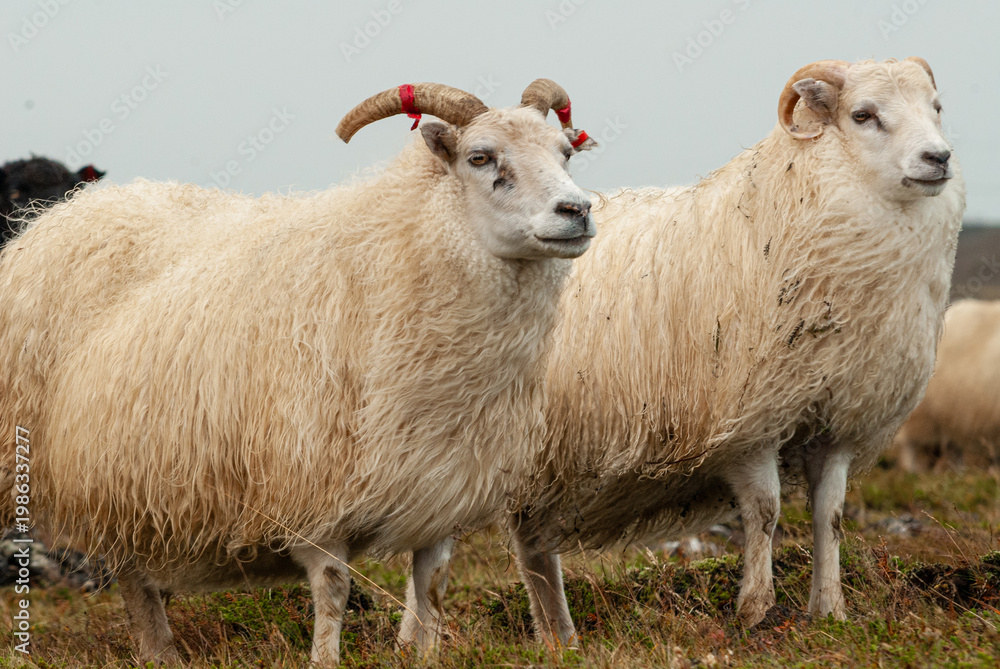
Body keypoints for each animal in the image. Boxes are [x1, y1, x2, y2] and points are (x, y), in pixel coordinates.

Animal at [0, 79, 596, 666]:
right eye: (480, 157)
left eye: (565, 153)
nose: (577, 210)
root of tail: (63, 214)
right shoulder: (311, 484)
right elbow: (333, 588)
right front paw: (323, 660)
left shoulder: (441, 488)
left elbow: (432, 586)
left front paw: (423, 655)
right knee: (131, 577)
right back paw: (158, 651)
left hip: (123, 475)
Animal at [489, 57, 963, 642]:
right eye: (863, 115)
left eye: (936, 107)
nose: (938, 158)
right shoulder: (749, 423)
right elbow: (764, 512)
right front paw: (757, 611)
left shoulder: (837, 421)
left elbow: (829, 515)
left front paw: (830, 610)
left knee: (533, 546)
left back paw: (560, 639)